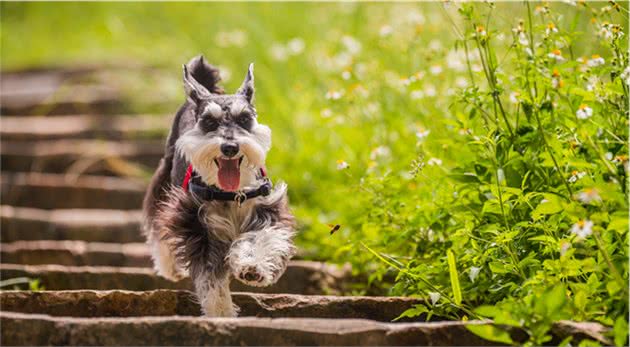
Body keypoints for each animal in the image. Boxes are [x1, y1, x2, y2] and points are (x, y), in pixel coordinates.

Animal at [144, 55, 298, 318]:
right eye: (209, 122)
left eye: (245, 119)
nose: (230, 147)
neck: (231, 193)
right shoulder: (197, 226)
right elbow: (210, 277)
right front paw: (221, 312)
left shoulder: (267, 210)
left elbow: (259, 239)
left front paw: (252, 267)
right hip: (164, 181)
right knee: (157, 224)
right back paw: (169, 266)